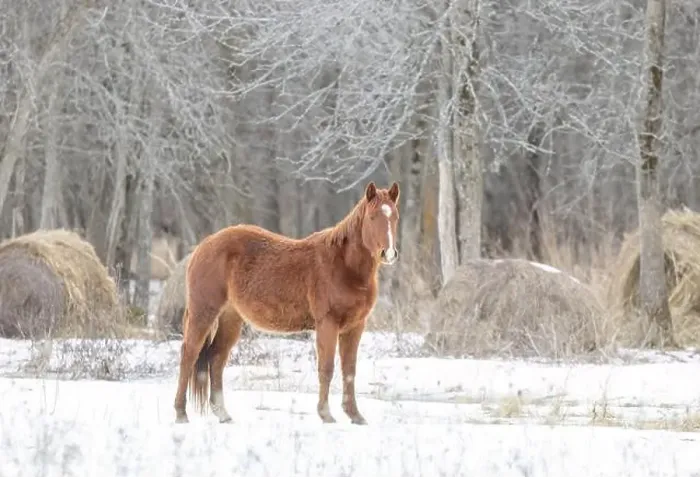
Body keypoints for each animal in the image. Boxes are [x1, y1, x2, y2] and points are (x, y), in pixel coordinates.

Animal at [173, 181, 400, 425]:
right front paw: (326, 414)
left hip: (231, 318)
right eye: (372, 217)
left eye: (395, 217)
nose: (388, 253)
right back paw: (180, 414)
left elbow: (349, 370)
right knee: (189, 354)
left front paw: (355, 416)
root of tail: (203, 246)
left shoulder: (355, 326)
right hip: (204, 312)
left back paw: (223, 414)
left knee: (216, 357)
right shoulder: (327, 324)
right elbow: (327, 368)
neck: (343, 266)